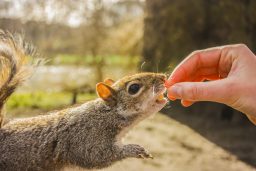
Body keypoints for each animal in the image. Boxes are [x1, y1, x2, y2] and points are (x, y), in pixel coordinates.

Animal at [0, 30, 167, 171]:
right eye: (134, 88)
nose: (164, 78)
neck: (107, 114)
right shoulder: (86, 137)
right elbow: (97, 156)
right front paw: (133, 149)